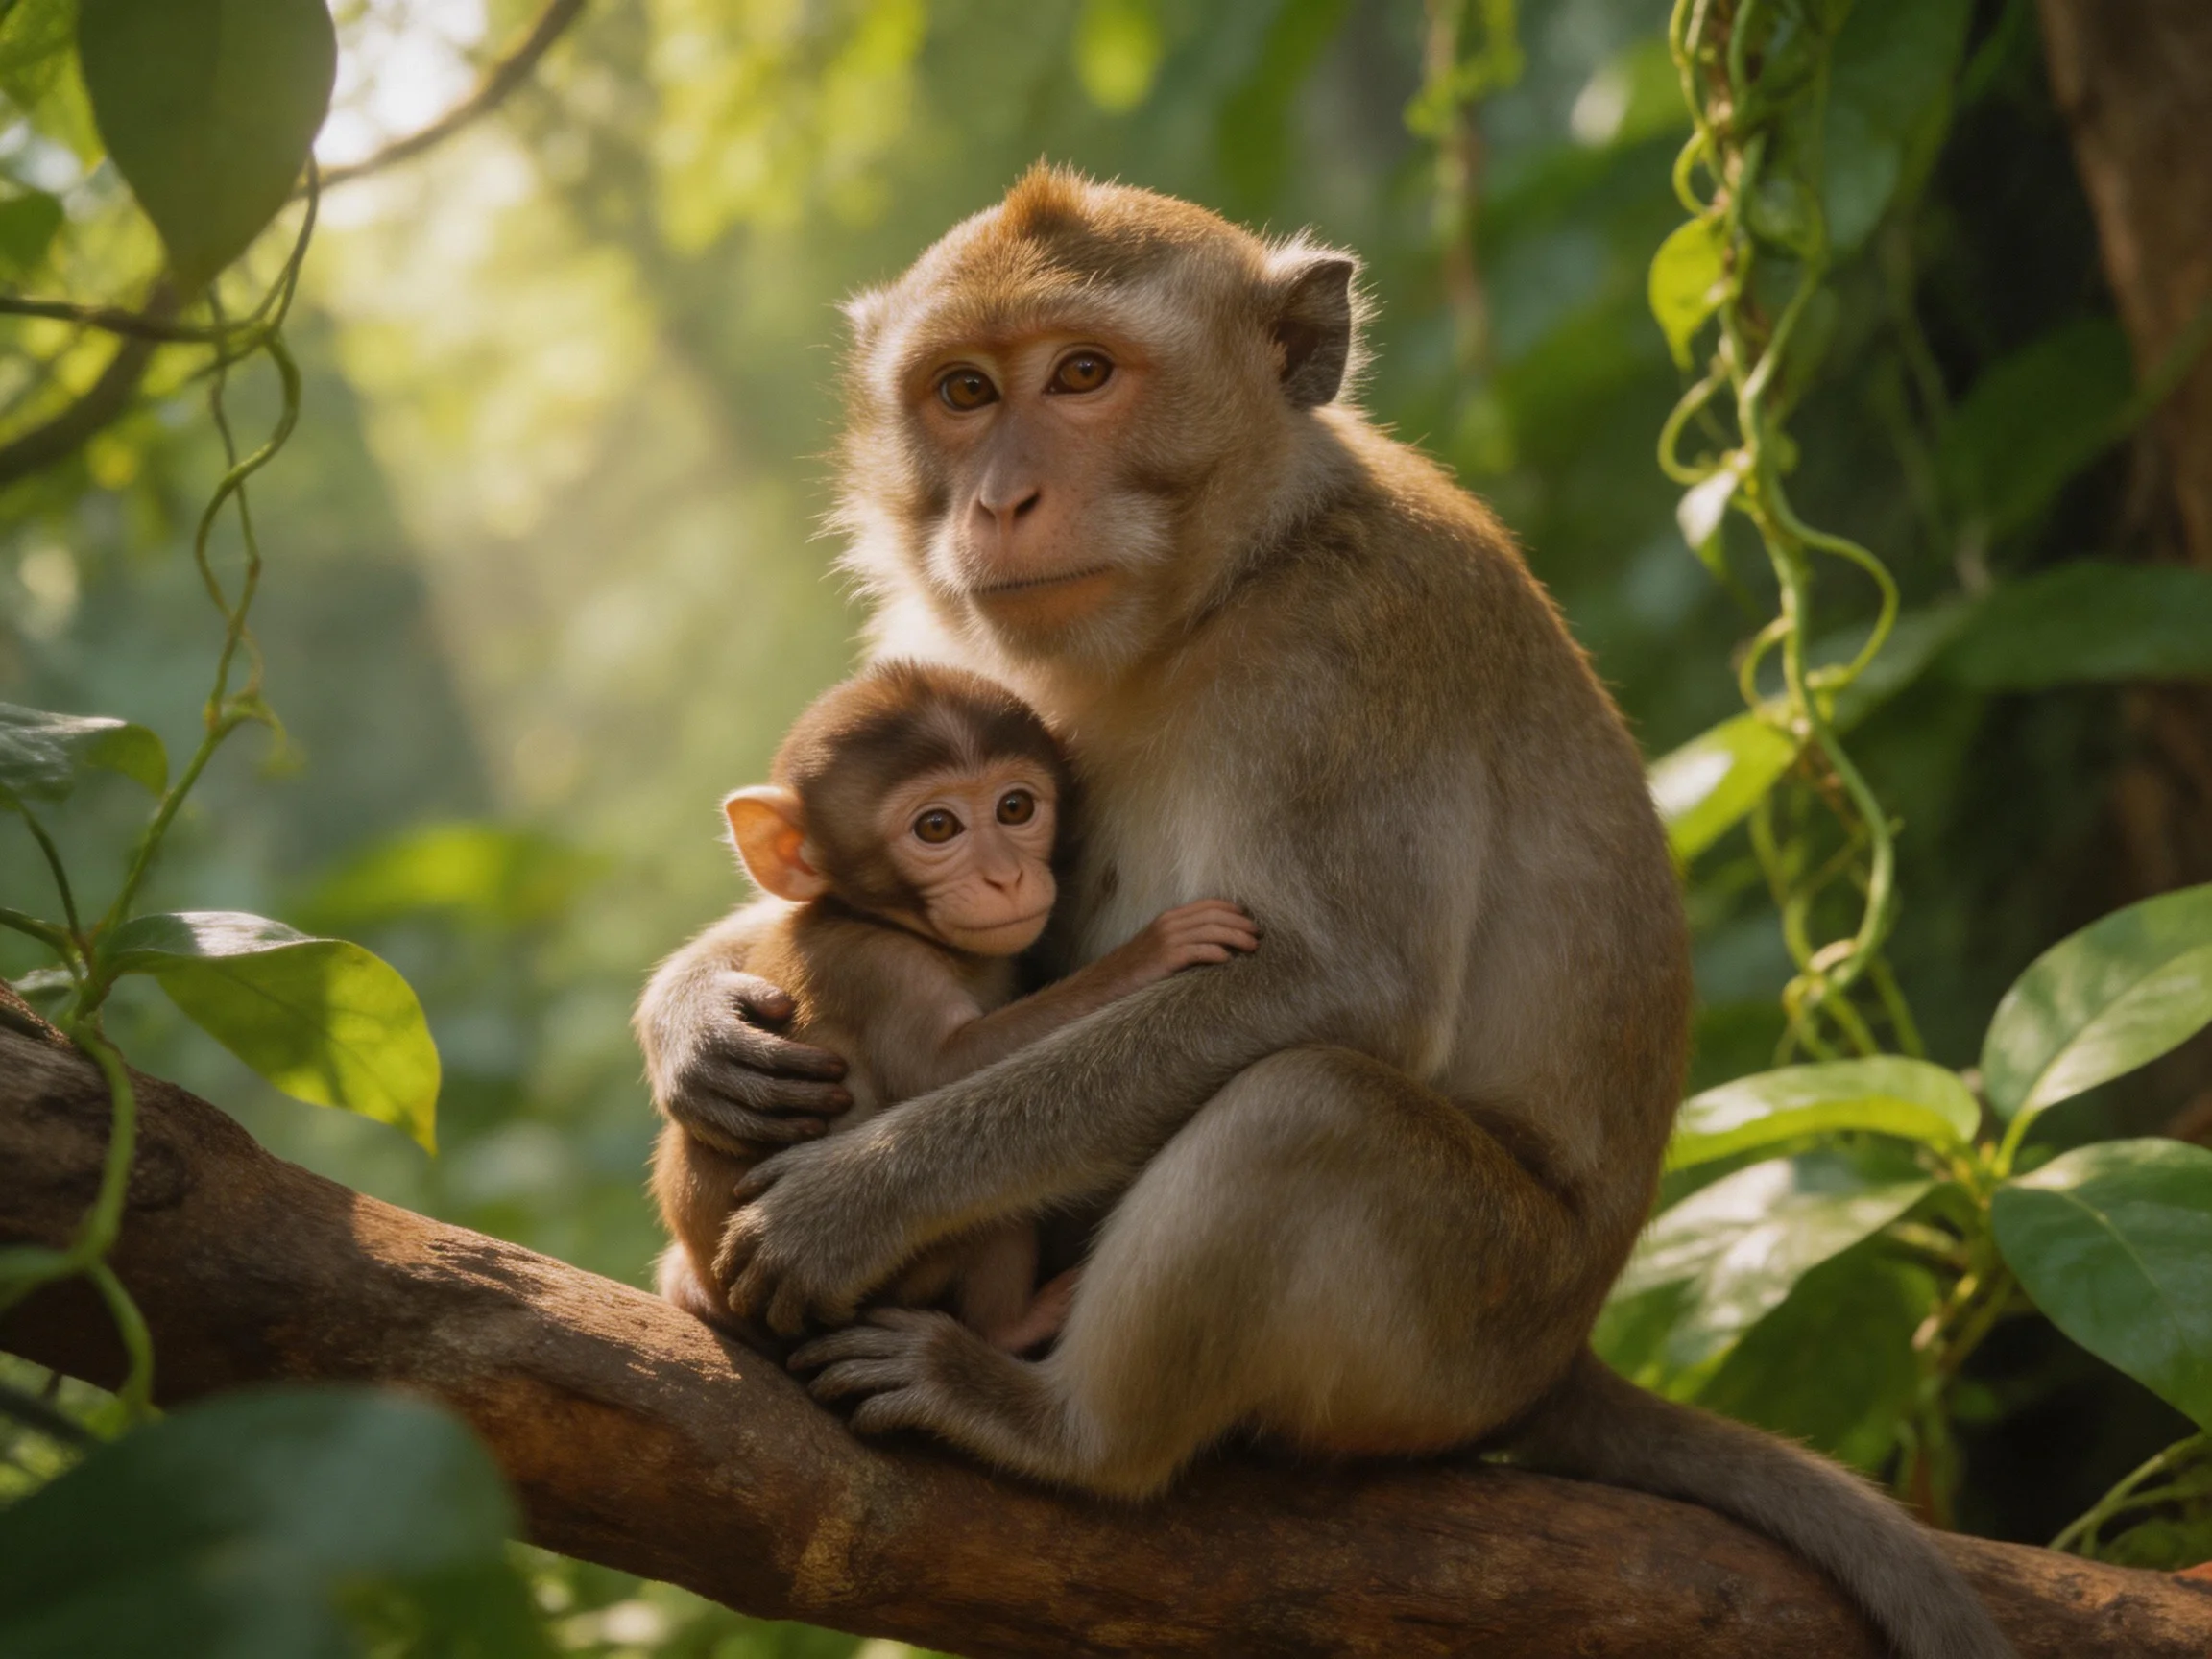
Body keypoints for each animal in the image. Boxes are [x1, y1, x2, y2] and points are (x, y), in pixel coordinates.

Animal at [644, 658, 1260, 1352]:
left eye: (1015, 807)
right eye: (936, 827)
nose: (1006, 877)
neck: (876, 917)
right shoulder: (879, 968)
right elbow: (942, 1068)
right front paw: (1154, 949)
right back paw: (1016, 1324)